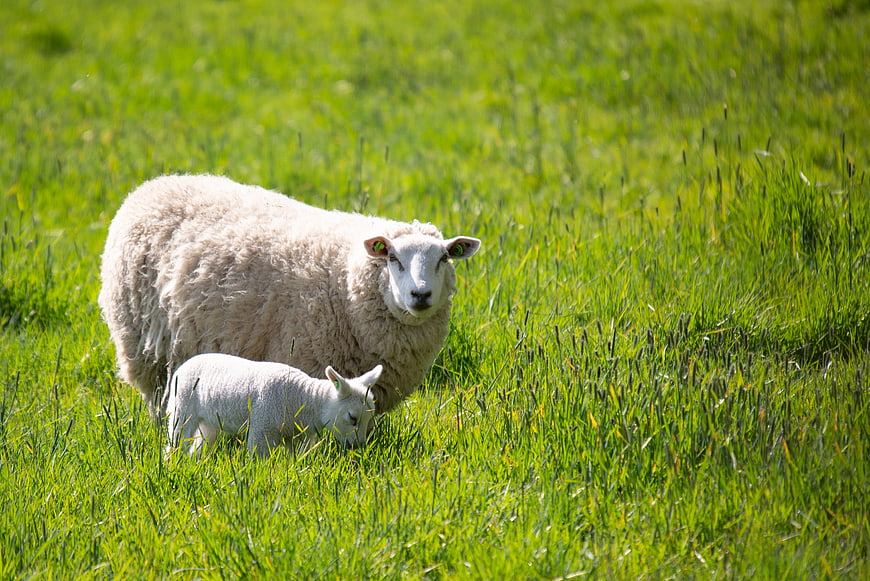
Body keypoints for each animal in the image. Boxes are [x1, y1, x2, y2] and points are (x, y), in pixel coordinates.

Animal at [98, 174, 480, 418]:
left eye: (444, 259)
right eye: (393, 259)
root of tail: (154, 184)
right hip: (145, 351)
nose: (420, 295)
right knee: (156, 398)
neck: (344, 280)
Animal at [165, 353, 382, 456]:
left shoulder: (297, 437)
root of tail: (184, 364)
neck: (304, 398)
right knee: (177, 440)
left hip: (210, 422)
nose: (359, 446)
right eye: (352, 418)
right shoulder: (263, 428)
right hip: (182, 408)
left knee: (200, 444)